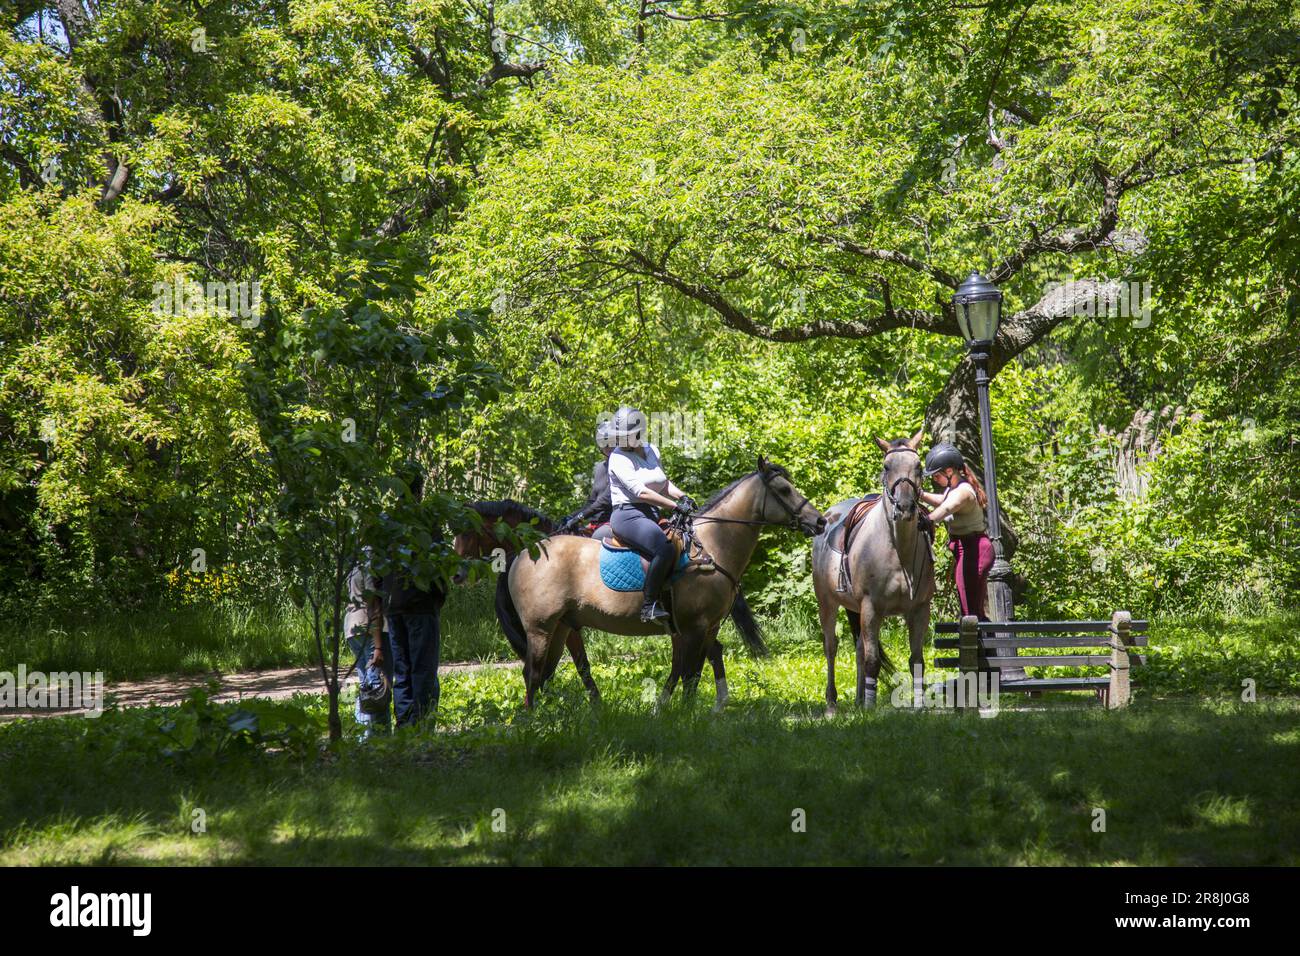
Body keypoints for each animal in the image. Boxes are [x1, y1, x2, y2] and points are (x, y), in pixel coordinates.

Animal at [451, 498, 772, 705]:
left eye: (468, 531)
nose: (456, 575)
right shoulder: (567, 625)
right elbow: (577, 666)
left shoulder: (568, 627)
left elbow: (580, 666)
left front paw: (594, 703)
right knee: (706, 653)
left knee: (701, 655)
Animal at [495, 459, 825, 710]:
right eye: (784, 489)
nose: (820, 521)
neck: (711, 547)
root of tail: (524, 552)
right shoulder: (693, 628)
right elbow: (690, 675)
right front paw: (685, 716)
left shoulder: (707, 628)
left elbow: (696, 669)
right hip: (540, 628)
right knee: (532, 673)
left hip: (561, 627)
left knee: (543, 674)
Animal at [811, 432, 935, 714]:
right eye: (886, 467)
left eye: (919, 466)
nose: (905, 507)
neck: (897, 550)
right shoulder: (870, 608)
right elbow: (872, 661)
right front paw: (870, 706)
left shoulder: (919, 609)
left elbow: (917, 660)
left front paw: (919, 706)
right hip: (827, 603)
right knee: (831, 648)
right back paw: (832, 703)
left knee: (857, 648)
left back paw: (857, 699)